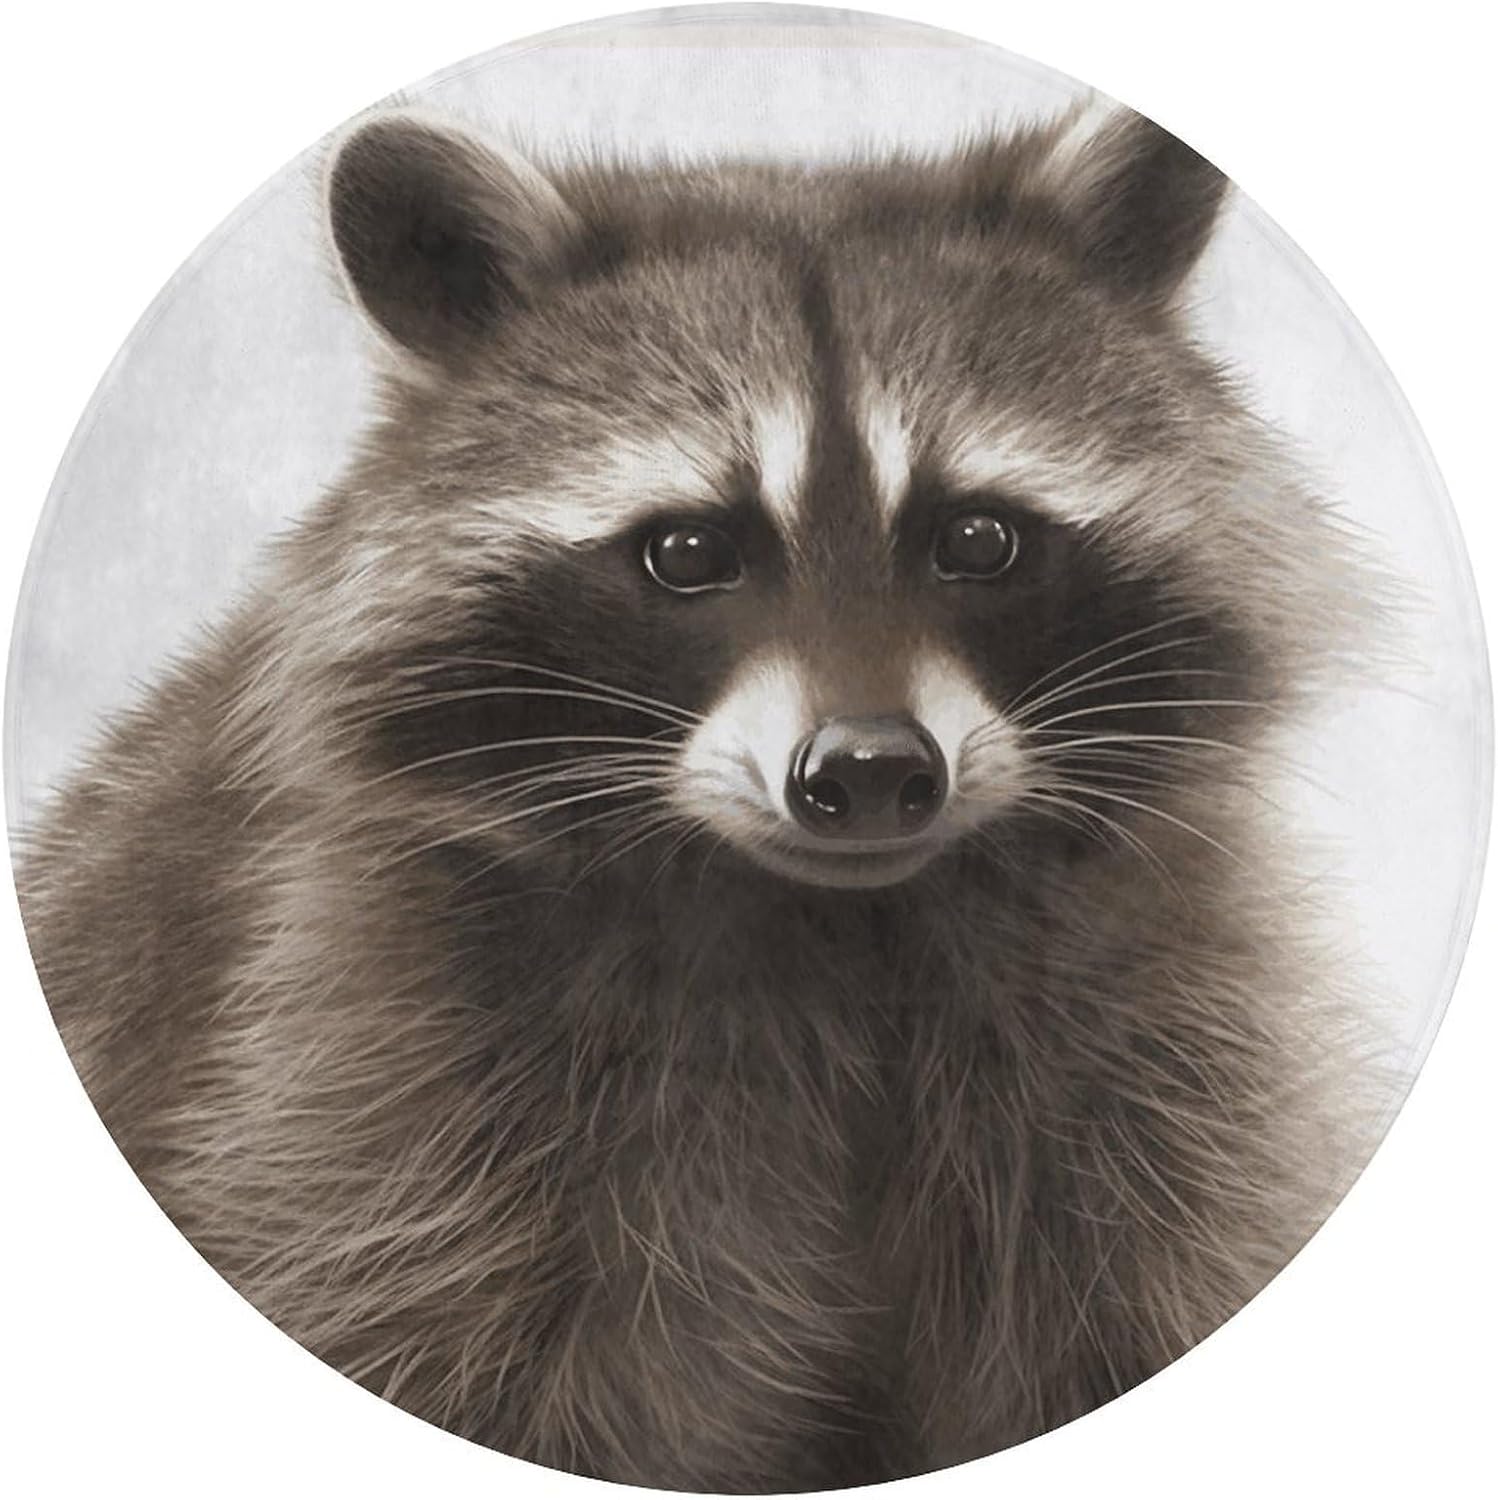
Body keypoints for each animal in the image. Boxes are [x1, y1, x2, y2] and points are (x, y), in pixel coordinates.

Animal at [18, 98, 1382, 1488]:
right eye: (686, 551)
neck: (840, 922)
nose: (870, 771)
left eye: (977, 537)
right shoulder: (359, 1050)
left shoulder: (1156, 1017)